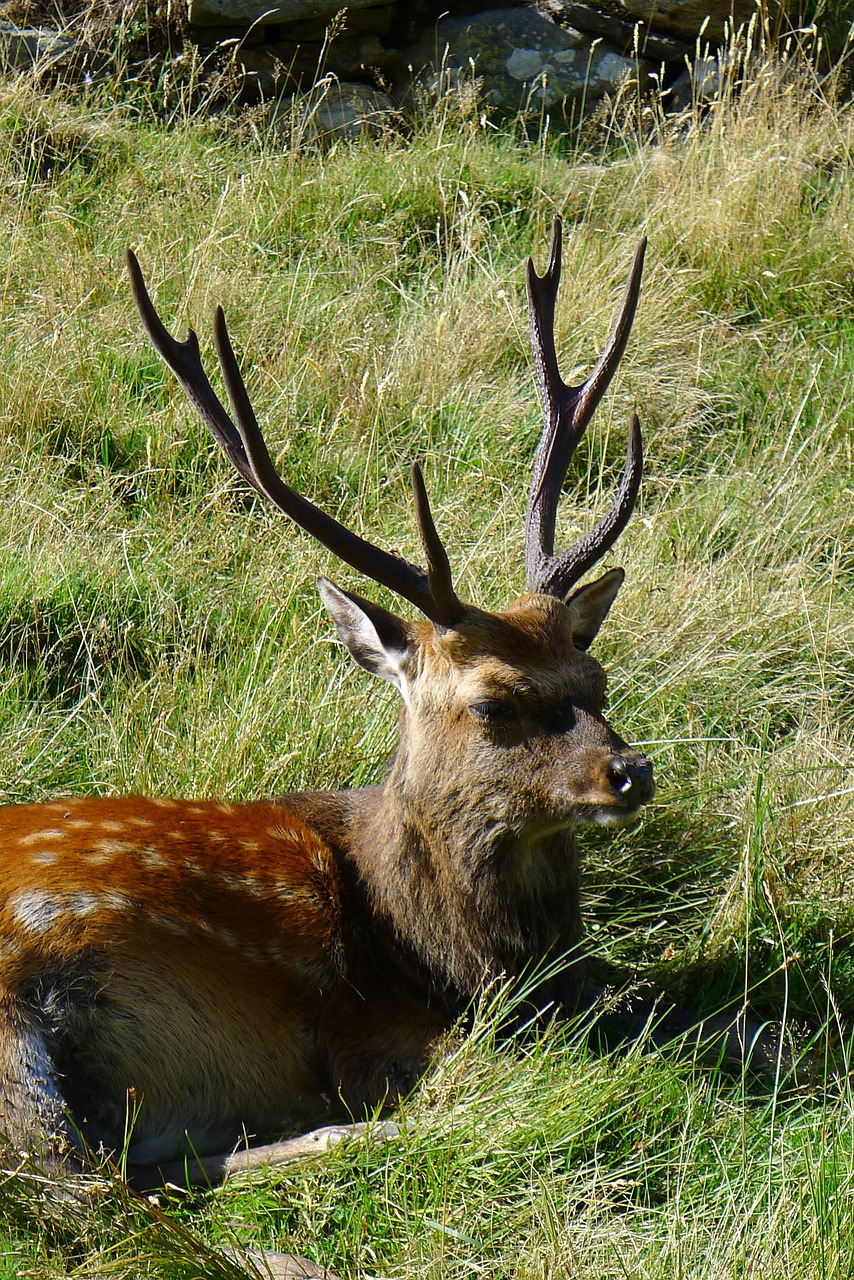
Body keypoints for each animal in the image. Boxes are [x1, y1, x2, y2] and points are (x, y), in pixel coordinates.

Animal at [0, 220, 660, 1187]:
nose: (630, 771)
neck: (446, 958)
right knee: (88, 1184)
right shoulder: (374, 1026)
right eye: (492, 704)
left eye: (597, 678)